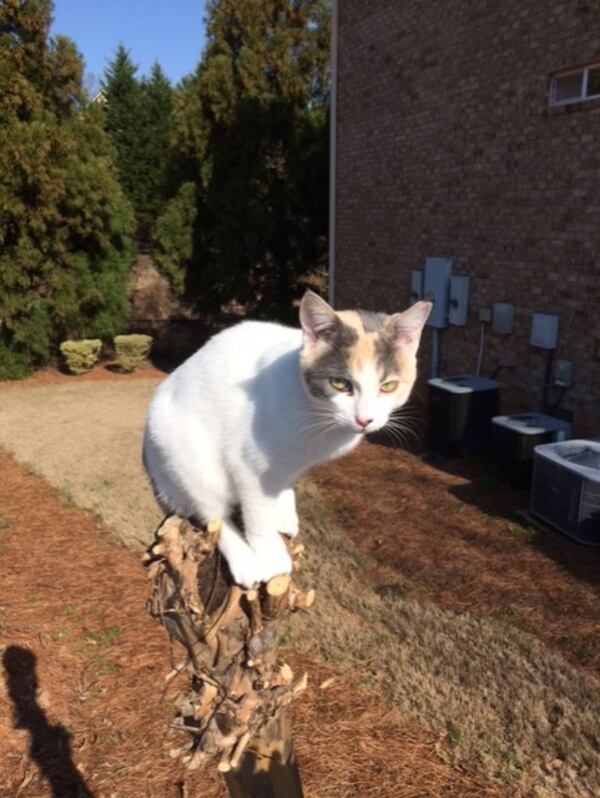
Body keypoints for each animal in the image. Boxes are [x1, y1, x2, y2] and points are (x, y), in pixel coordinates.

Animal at [141, 290, 432, 584]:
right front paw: (270, 555)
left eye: (389, 386)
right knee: (214, 515)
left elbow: (279, 487)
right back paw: (244, 560)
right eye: (339, 383)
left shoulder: (291, 464)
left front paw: (282, 510)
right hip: (188, 459)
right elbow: (257, 516)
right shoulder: (248, 464)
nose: (364, 419)